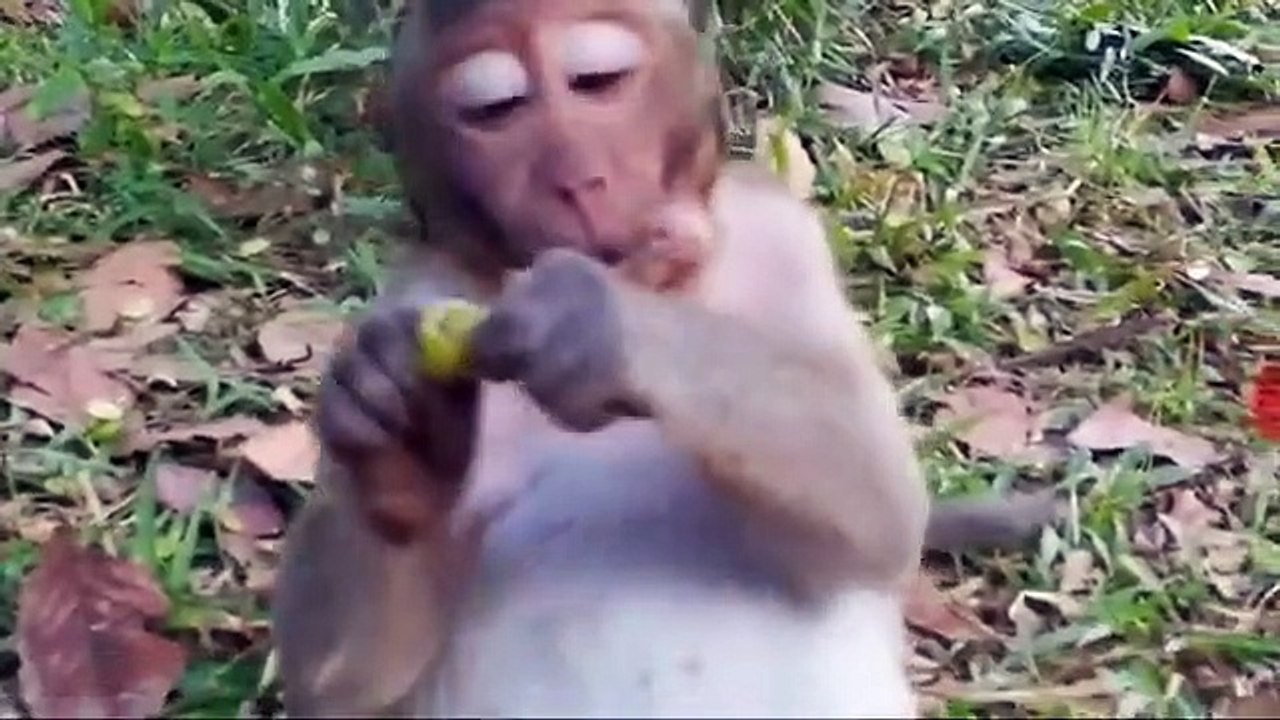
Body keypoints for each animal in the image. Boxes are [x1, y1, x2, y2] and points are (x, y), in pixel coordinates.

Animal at [271, 1, 1055, 716]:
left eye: (596, 81)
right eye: (496, 110)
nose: (576, 179)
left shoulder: (778, 231)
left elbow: (880, 504)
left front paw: (598, 325)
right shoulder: (411, 290)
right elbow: (343, 684)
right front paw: (399, 447)